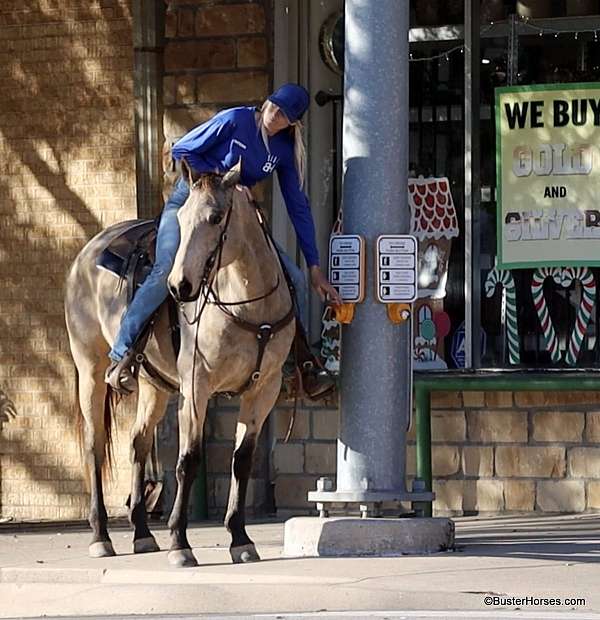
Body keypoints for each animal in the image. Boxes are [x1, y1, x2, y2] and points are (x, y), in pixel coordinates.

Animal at [65, 163, 296, 568]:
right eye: (183, 219)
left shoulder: (263, 390)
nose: (180, 286)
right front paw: (179, 542)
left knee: (138, 444)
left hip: (153, 386)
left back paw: (142, 534)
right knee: (95, 447)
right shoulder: (195, 386)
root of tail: (88, 252)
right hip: (90, 369)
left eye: (216, 217)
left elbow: (242, 460)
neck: (250, 308)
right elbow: (188, 460)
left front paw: (240, 539)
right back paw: (101, 536)